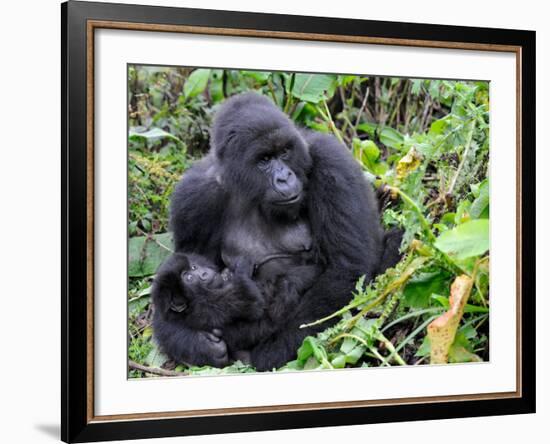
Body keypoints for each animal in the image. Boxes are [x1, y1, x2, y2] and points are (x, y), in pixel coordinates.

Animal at [153, 92, 390, 370]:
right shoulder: (193, 197)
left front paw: (268, 354)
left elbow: (346, 270)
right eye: (264, 160)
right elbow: (176, 293)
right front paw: (197, 345)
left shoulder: (332, 161)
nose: (284, 178)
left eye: (285, 152)